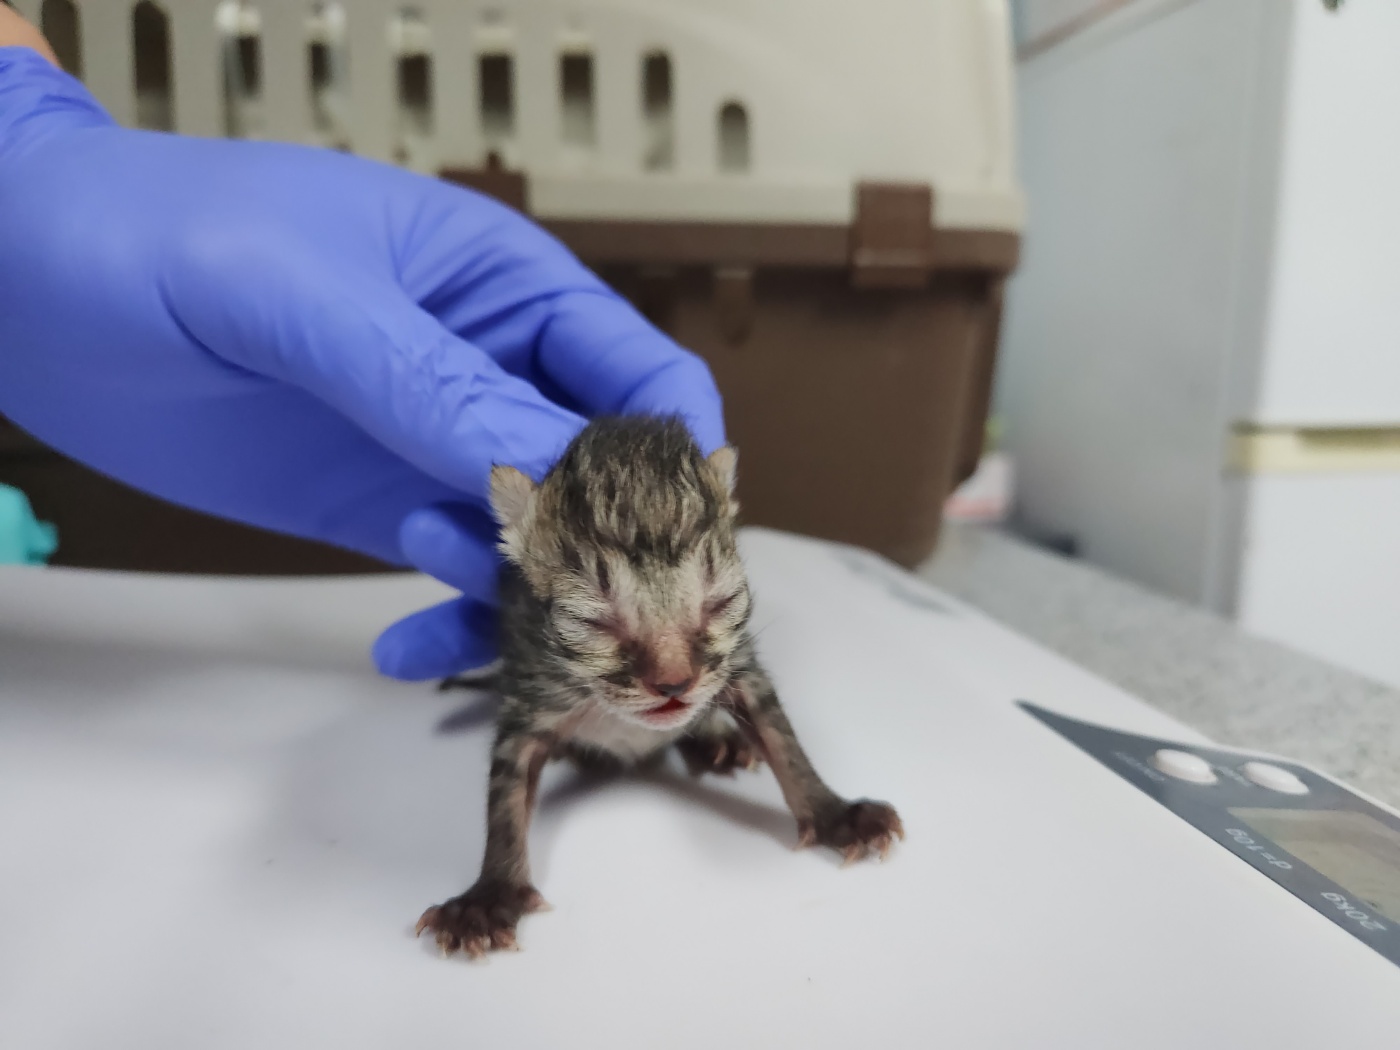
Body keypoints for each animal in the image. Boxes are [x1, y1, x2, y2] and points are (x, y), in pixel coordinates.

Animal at [411, 414, 907, 957]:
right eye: (595, 621)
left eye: (719, 603)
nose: (674, 681)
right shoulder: (532, 691)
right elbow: (507, 797)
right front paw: (489, 895)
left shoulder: (739, 668)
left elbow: (783, 742)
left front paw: (834, 813)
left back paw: (716, 739)